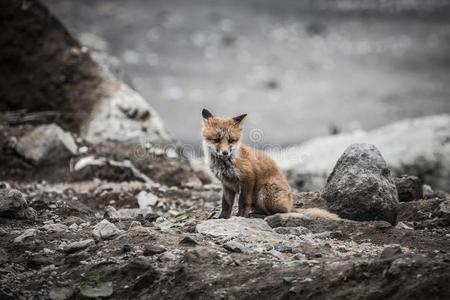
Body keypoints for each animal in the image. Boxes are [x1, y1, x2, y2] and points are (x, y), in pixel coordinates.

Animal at [201, 109, 338, 219]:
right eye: (216, 140)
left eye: (231, 140)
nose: (225, 152)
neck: (225, 164)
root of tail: (290, 204)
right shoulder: (227, 184)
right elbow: (226, 204)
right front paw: (222, 218)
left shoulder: (247, 177)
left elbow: (243, 201)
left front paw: (240, 216)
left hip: (265, 192)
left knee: (279, 212)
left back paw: (260, 215)